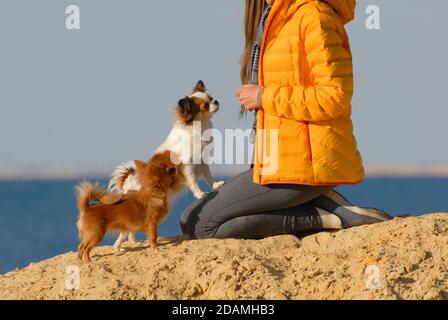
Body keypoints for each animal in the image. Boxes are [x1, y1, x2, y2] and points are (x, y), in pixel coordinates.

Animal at [108, 80, 224, 252]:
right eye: (205, 105)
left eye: (211, 98)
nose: (216, 101)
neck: (199, 127)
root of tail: (128, 186)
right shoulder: (188, 165)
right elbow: (193, 181)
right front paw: (200, 194)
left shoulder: (203, 162)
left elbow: (209, 177)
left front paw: (216, 185)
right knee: (123, 233)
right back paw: (118, 247)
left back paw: (133, 242)